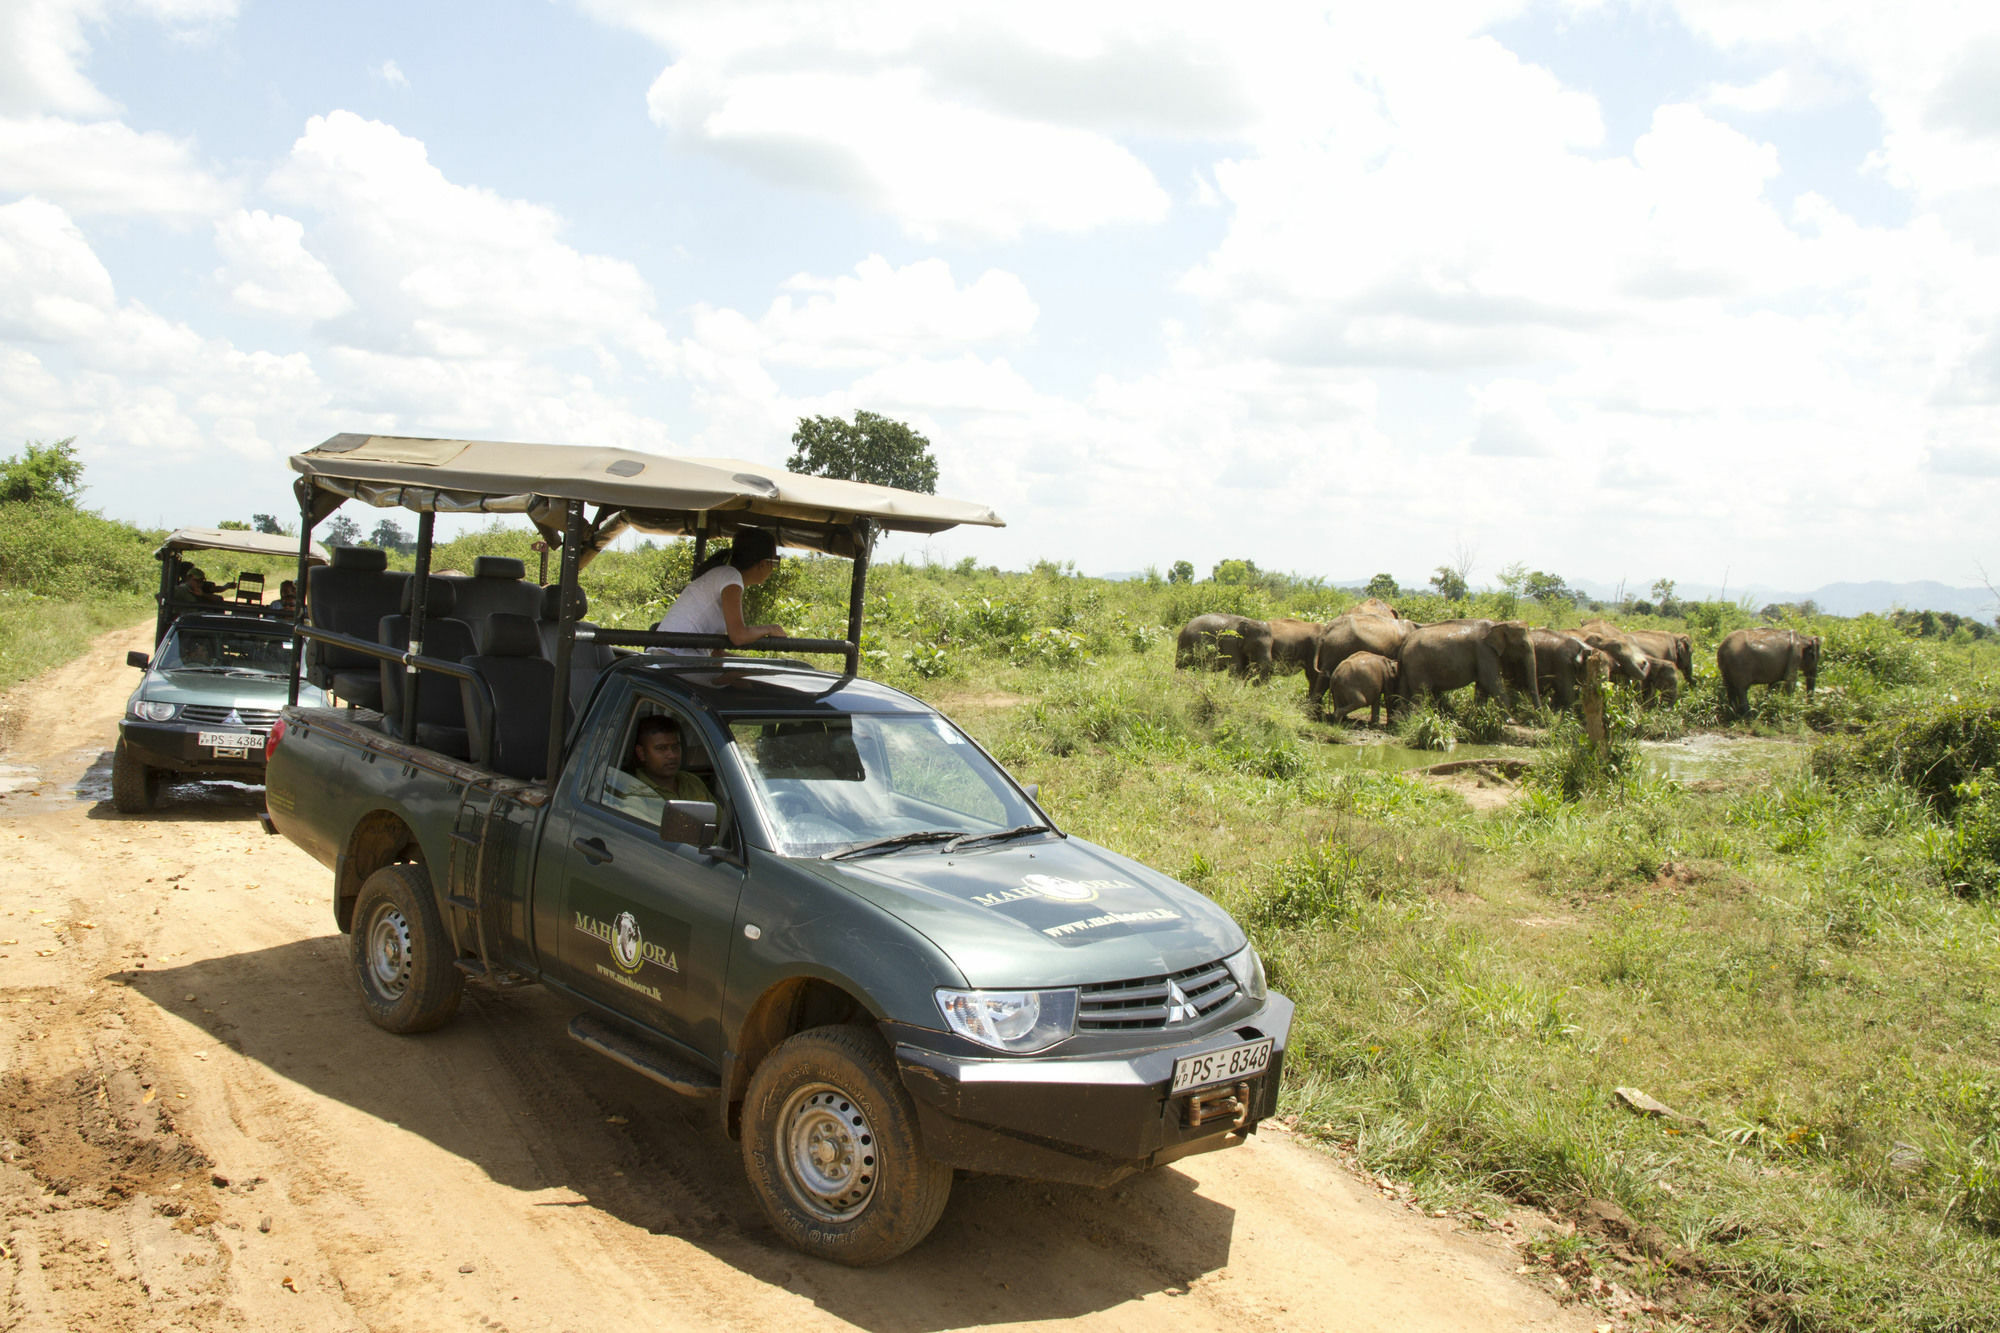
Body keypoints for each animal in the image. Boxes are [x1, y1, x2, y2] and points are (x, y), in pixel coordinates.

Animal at [1400, 616, 1536, 712]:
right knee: (1421, 693)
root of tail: (1406, 641)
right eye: (1523, 646)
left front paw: (1478, 715)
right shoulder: (1484, 651)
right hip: (1417, 664)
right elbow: (1491, 681)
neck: (1499, 623)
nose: (1538, 715)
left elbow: (1482, 686)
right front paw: (1511, 721)